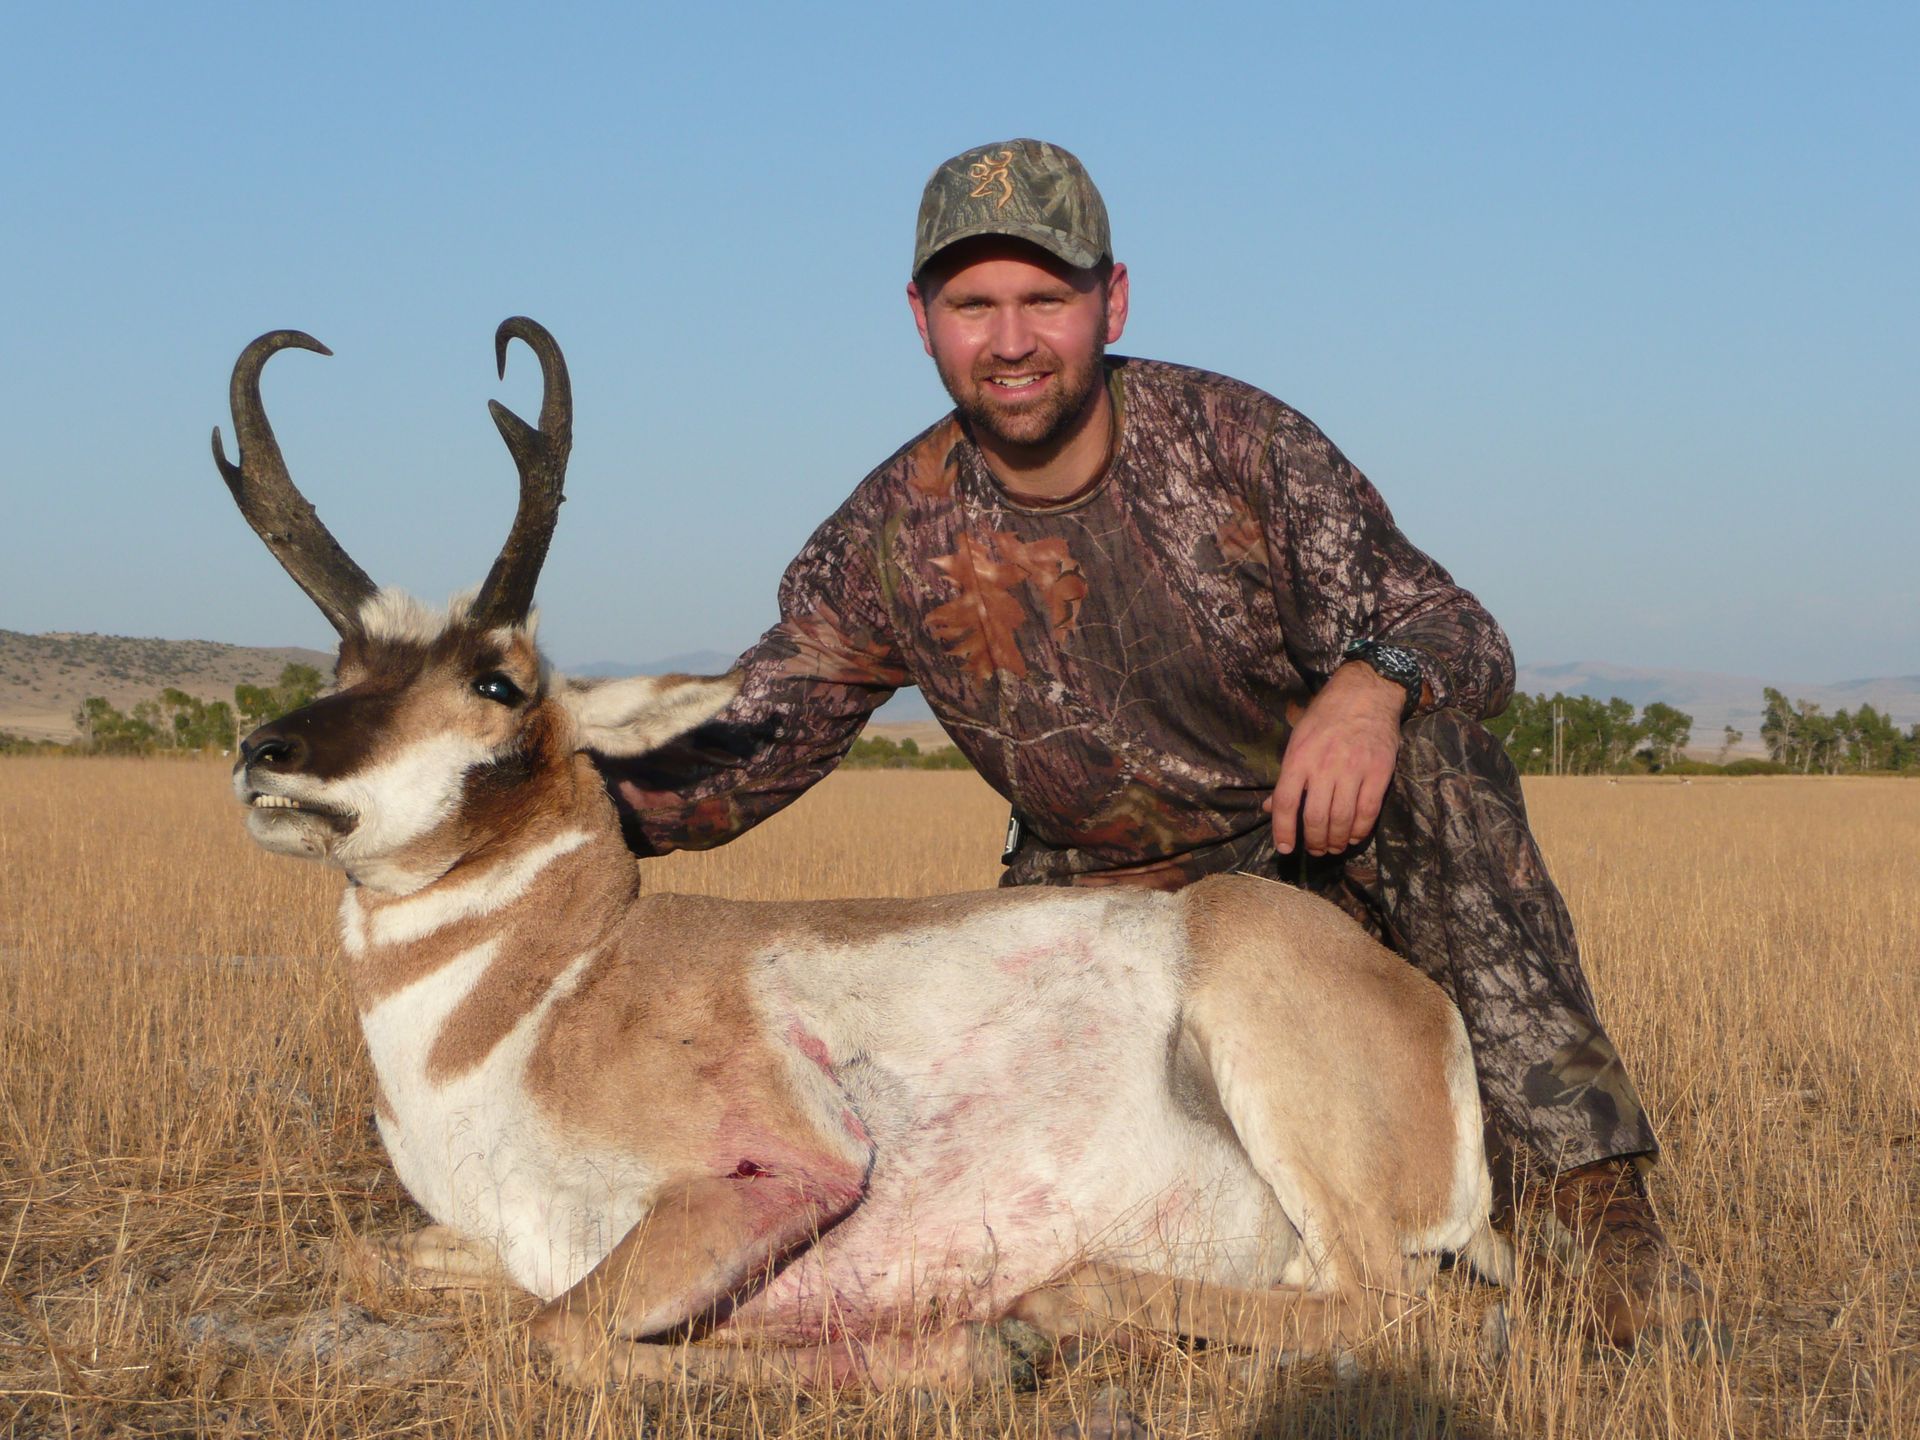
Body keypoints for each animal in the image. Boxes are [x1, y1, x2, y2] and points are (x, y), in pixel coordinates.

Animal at [213, 318, 1503, 1390]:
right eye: (348, 667)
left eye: (497, 682)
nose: (264, 752)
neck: (558, 983)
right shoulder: (492, 1236)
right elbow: (372, 1262)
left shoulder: (791, 1174)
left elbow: (561, 1337)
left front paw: (956, 1355)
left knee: (1389, 1308)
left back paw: (1046, 1314)